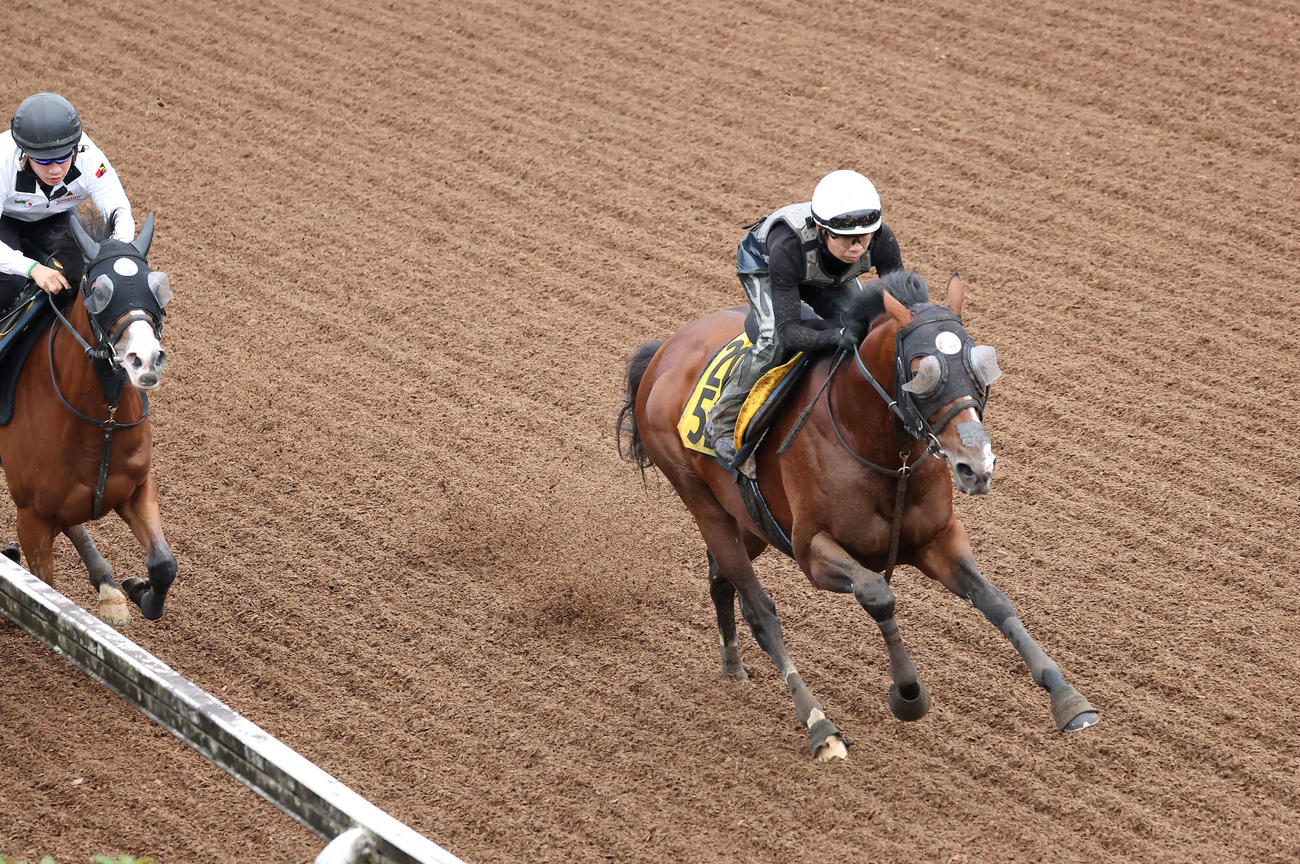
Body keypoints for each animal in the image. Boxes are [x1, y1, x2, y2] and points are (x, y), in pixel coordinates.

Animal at [0, 212, 174, 626]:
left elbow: (164, 564)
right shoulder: (31, 518)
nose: (145, 359)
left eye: (157, 287)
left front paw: (138, 590)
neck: (103, 424)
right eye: (97, 291)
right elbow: (45, 592)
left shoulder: (137, 488)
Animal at [618, 269, 1098, 761]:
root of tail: (663, 351)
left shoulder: (937, 538)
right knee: (760, 612)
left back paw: (732, 663)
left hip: (747, 521)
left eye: (977, 364)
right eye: (921, 371)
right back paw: (820, 726)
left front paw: (1067, 697)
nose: (976, 465)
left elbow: (994, 599)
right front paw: (908, 694)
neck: (873, 443)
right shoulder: (811, 551)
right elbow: (877, 594)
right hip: (705, 506)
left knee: (719, 576)